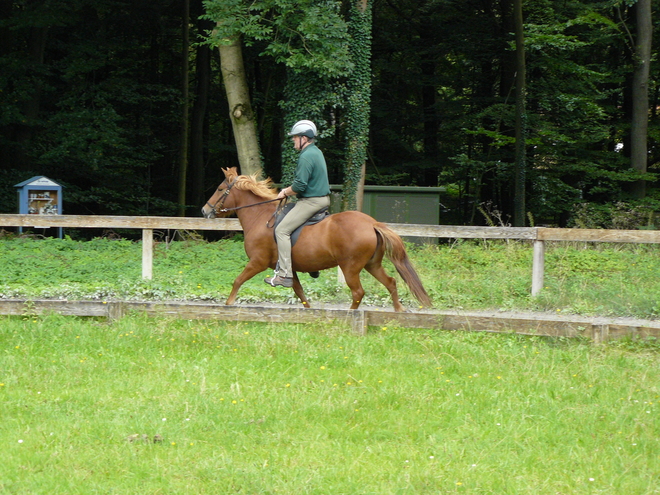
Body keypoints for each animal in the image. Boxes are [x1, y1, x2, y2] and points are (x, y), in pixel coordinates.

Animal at [201, 169, 434, 312]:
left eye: (220, 189)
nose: (204, 210)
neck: (260, 217)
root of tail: (372, 224)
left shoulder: (257, 262)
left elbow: (237, 280)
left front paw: (228, 304)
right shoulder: (290, 269)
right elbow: (299, 291)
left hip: (350, 267)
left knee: (358, 292)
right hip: (372, 264)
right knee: (391, 282)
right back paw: (399, 310)